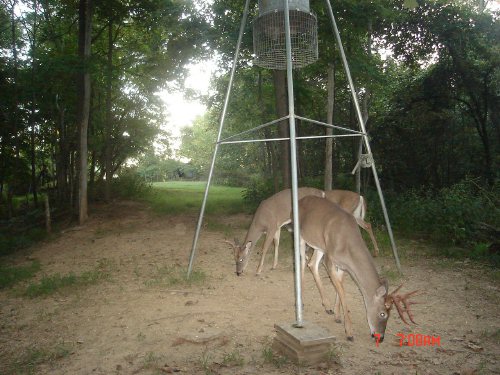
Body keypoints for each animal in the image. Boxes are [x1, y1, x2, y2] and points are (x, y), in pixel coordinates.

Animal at [296, 197, 418, 344]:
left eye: (390, 313)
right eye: (382, 313)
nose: (381, 337)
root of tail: (301, 199)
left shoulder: (343, 265)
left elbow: (340, 287)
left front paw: (337, 315)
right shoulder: (330, 259)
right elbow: (342, 291)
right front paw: (349, 332)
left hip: (319, 245)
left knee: (312, 264)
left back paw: (327, 306)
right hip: (302, 236)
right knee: (303, 262)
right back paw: (301, 302)